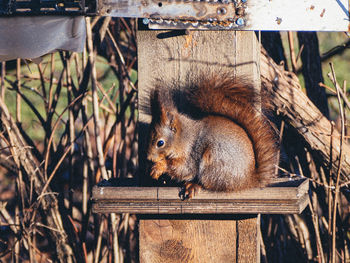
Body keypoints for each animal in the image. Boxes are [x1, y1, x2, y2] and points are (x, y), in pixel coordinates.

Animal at [146, 73, 278, 201]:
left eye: (160, 143)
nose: (149, 158)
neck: (184, 138)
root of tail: (247, 180)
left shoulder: (192, 153)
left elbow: (183, 168)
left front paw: (159, 166)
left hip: (214, 163)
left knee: (209, 184)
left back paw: (193, 185)